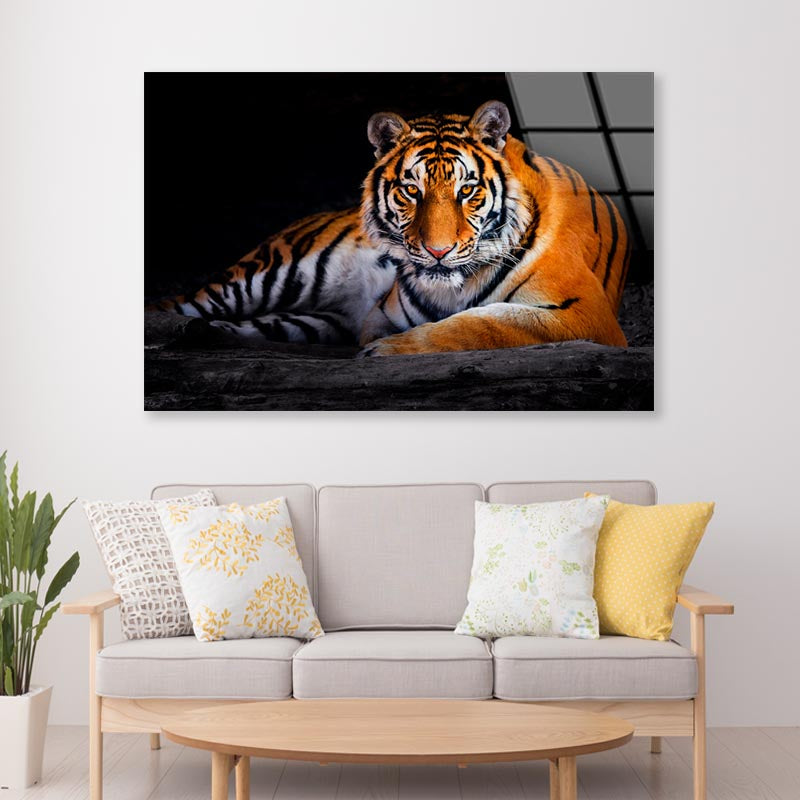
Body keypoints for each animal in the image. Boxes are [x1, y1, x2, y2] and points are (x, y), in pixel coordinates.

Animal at [149, 100, 629, 356]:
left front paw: (388, 350)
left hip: (302, 321)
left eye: (467, 190)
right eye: (411, 190)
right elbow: (471, 321)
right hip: (271, 275)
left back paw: (201, 336)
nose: (437, 252)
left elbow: (482, 323)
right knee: (172, 305)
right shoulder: (383, 311)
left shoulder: (586, 312)